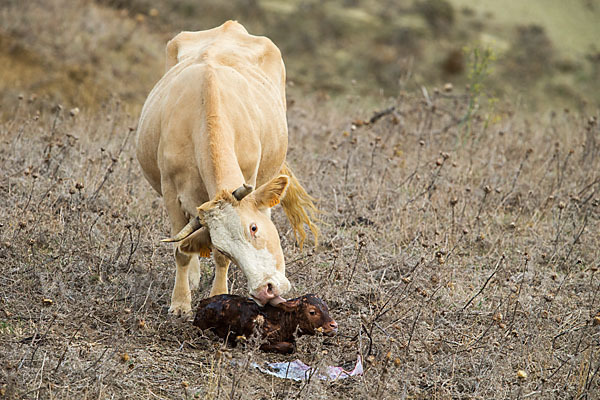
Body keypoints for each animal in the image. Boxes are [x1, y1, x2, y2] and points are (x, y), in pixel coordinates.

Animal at [135, 21, 318, 316]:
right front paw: (180, 303)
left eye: (254, 228)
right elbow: (182, 250)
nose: (266, 291)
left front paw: (219, 295)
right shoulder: (170, 191)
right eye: (220, 242)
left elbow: (219, 260)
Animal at [195, 294, 340, 354]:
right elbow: (290, 346)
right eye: (312, 311)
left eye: (327, 308)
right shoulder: (256, 341)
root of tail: (202, 303)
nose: (334, 325)